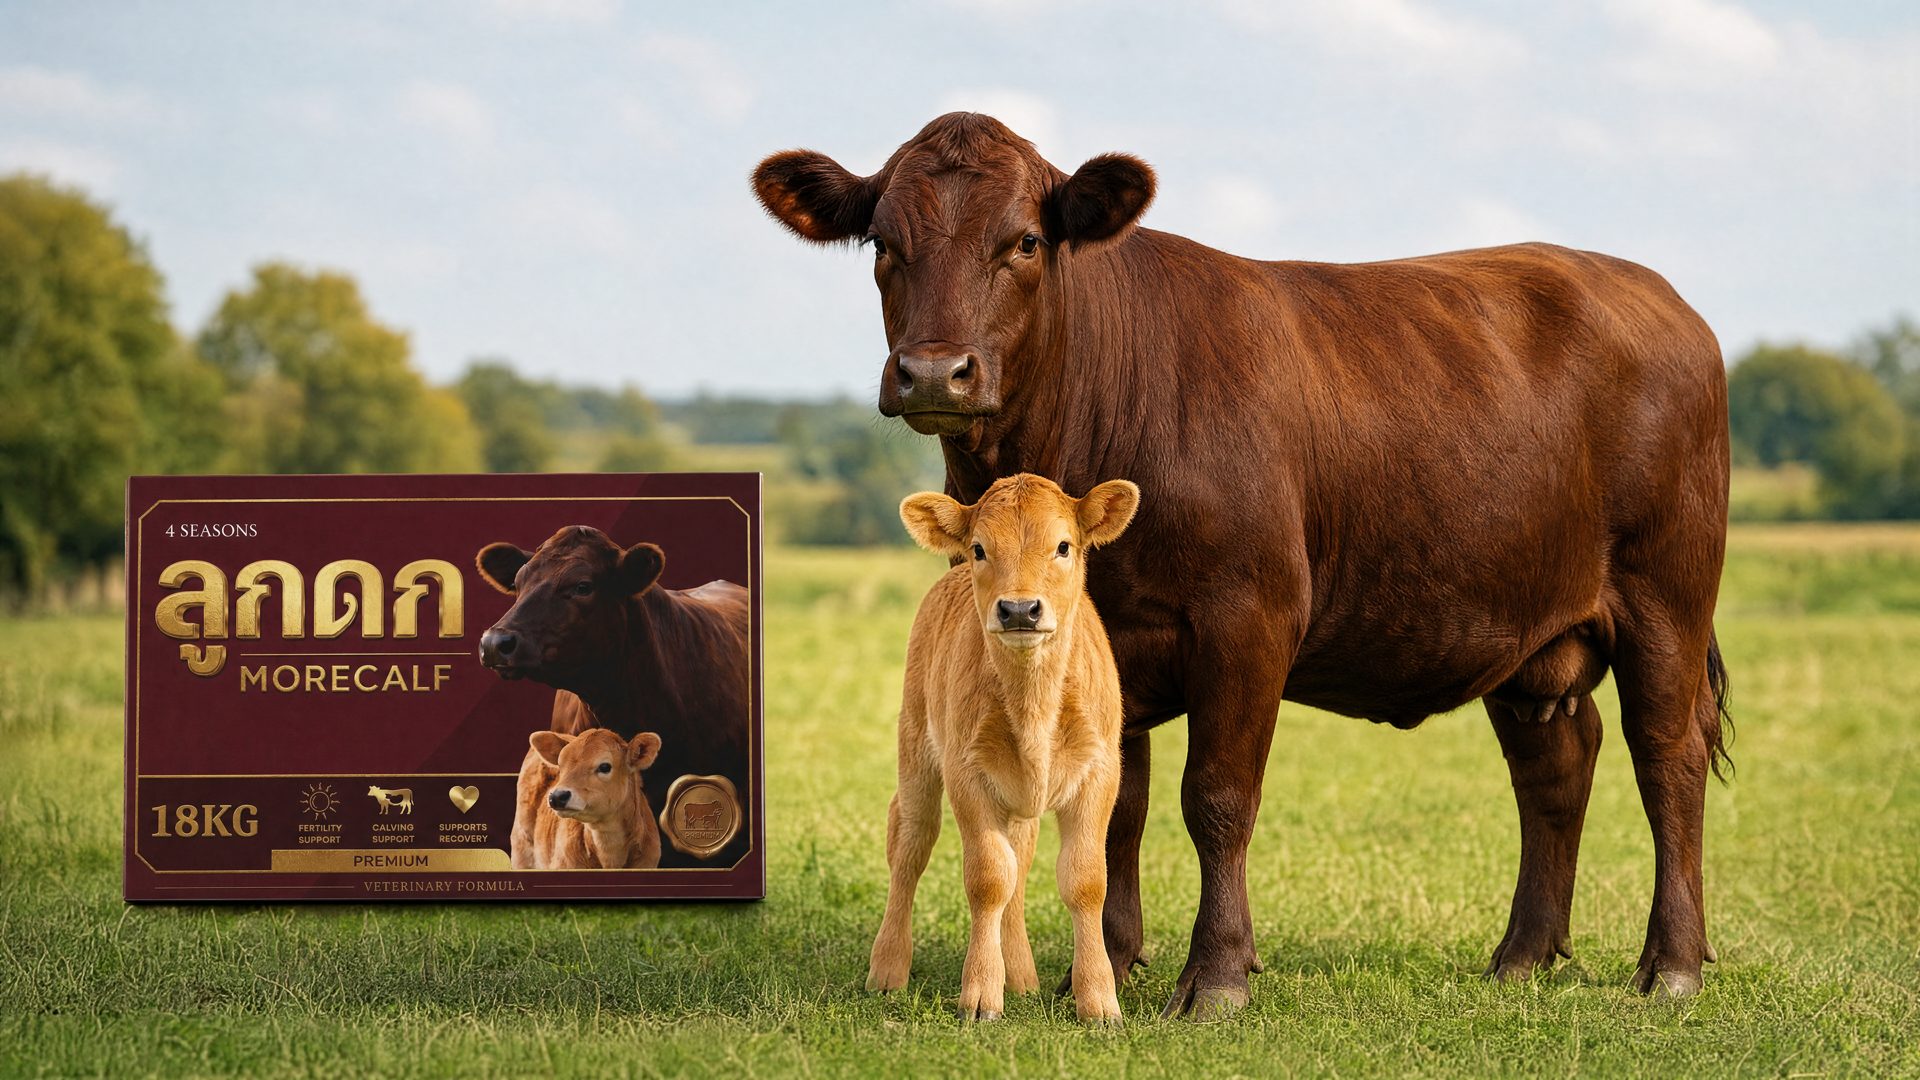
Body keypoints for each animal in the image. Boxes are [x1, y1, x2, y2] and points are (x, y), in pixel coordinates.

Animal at [868, 473, 1139, 1023]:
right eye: (979, 548)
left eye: (1063, 546)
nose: (1018, 609)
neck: (1033, 702)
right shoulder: (966, 774)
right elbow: (988, 878)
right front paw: (979, 996)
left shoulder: (1100, 773)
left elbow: (1084, 880)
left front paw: (1099, 999)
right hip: (916, 746)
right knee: (910, 844)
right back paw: (886, 970)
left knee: (1020, 859)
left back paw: (1022, 978)